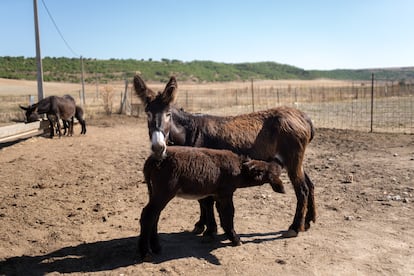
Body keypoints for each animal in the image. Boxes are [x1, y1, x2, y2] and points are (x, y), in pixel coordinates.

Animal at [139, 146, 282, 262]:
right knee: (148, 215)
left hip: (154, 191)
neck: (240, 170)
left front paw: (211, 232)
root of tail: (152, 160)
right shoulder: (225, 194)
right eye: (266, 172)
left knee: (155, 216)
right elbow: (228, 214)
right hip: (164, 192)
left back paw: (156, 247)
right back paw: (145, 252)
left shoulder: (215, 194)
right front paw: (235, 238)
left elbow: (212, 209)